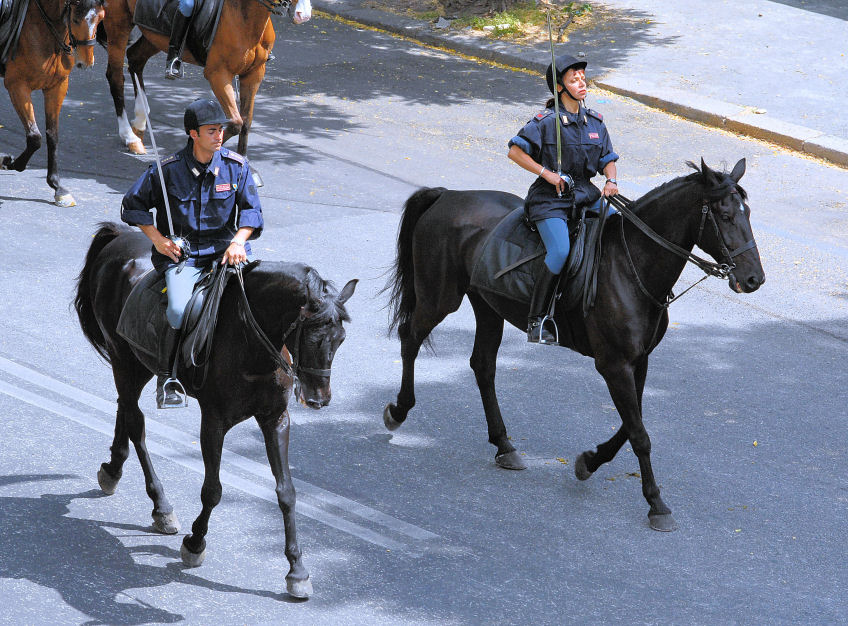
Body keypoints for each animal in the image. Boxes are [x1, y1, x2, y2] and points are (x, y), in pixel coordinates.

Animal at [0, 0, 106, 206]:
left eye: (101, 18)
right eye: (75, 19)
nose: (86, 62)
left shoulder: (57, 86)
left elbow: (52, 135)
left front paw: (57, 186)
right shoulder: (17, 85)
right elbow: (35, 137)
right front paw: (12, 163)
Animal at [76, 222, 358, 596]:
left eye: (340, 339)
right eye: (311, 336)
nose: (318, 399)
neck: (252, 343)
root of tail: (121, 234)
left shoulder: (276, 419)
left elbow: (287, 492)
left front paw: (297, 570)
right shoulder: (214, 421)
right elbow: (213, 490)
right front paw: (195, 543)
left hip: (138, 363)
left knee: (126, 407)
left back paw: (113, 471)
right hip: (124, 359)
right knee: (135, 421)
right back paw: (161, 504)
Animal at [101, 0, 310, 156]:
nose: (304, 15)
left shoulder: (254, 74)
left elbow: (246, 122)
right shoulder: (218, 74)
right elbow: (235, 122)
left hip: (155, 37)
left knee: (136, 59)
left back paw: (139, 124)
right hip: (118, 24)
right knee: (116, 77)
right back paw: (129, 137)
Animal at [386, 157, 768, 532]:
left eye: (747, 213)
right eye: (725, 215)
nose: (754, 279)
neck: (632, 264)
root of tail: (448, 195)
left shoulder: (639, 360)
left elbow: (630, 428)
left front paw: (590, 461)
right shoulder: (614, 365)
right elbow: (639, 433)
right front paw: (656, 504)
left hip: (487, 305)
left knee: (482, 366)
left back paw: (504, 445)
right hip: (440, 297)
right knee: (409, 337)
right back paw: (399, 410)